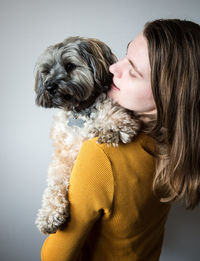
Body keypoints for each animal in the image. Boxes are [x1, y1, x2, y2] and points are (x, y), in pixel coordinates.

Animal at [34, 36, 140, 234]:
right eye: (46, 71)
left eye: (69, 66)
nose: (49, 86)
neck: (79, 112)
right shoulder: (62, 159)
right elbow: (54, 184)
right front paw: (49, 215)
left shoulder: (107, 104)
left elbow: (109, 108)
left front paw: (114, 126)